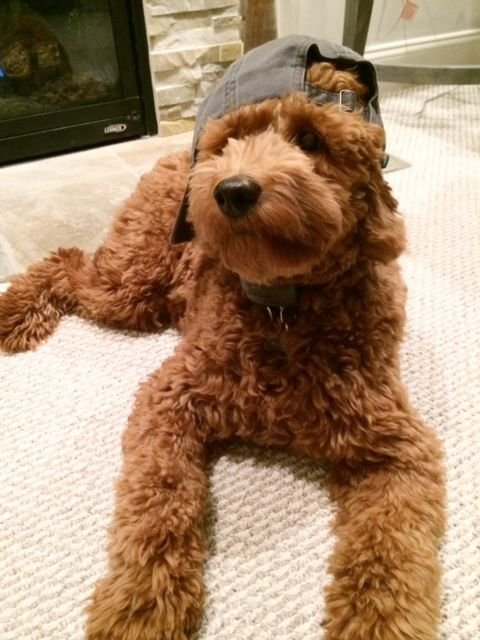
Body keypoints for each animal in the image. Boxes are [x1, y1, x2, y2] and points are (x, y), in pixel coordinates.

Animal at [0, 36, 446, 640]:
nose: (232, 189)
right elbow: (158, 499)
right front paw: (142, 602)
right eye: (229, 140)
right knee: (64, 263)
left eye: (310, 139)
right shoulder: (169, 401)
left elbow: (392, 550)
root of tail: (167, 157)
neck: (281, 308)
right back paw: (12, 313)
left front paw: (378, 620)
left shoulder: (398, 447)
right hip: (132, 287)